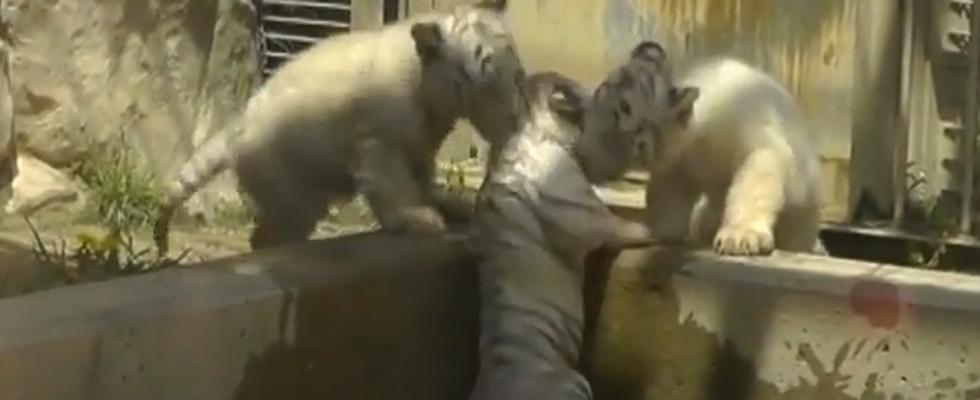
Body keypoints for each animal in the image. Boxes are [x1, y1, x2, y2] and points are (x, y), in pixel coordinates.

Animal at [151, 0, 526, 255]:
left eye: (517, 71)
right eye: (483, 79)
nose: (514, 119)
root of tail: (235, 129)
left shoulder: (420, 148)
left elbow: (421, 181)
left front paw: (452, 207)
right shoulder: (376, 143)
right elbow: (395, 185)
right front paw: (420, 219)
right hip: (289, 190)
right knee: (273, 233)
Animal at [594, 41, 824, 256]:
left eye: (621, 111)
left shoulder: (748, 128)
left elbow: (757, 171)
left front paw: (740, 237)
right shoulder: (679, 164)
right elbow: (668, 199)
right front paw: (646, 231)